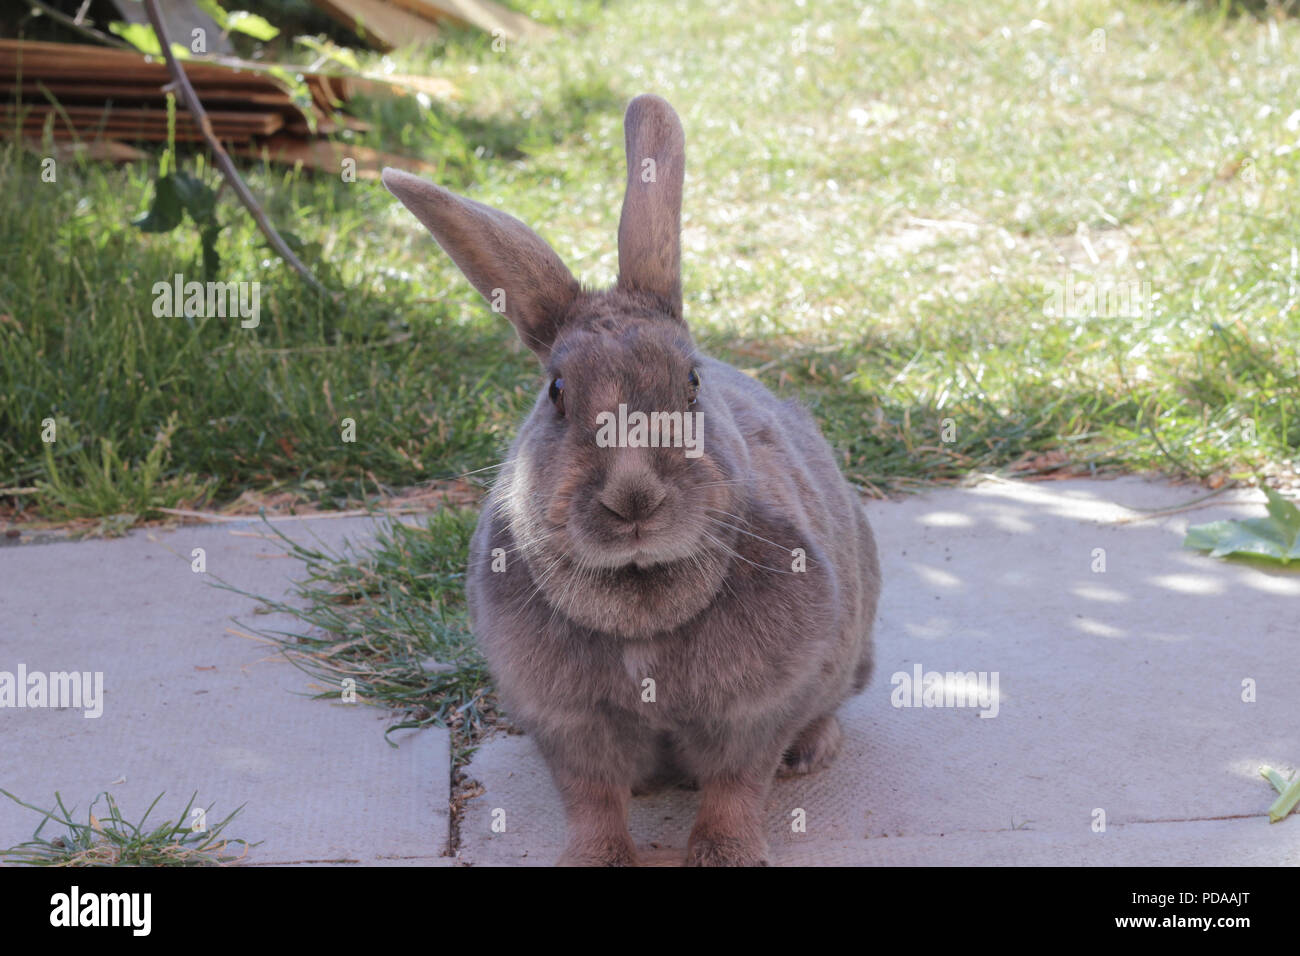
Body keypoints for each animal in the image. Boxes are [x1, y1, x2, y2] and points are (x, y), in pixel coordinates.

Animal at [381, 94, 881, 867]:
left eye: (692, 382)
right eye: (556, 392)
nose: (634, 498)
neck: (641, 599)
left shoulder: (755, 711)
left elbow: (737, 785)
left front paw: (724, 855)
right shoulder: (568, 725)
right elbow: (593, 799)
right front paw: (596, 859)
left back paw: (810, 753)